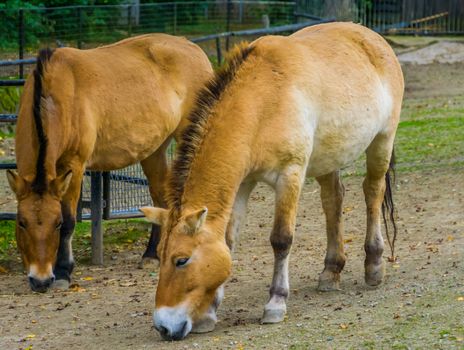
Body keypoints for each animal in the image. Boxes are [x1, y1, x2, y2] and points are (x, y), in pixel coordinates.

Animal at [5, 34, 212, 292]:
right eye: (22, 222)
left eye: (56, 223)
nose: (40, 280)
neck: (58, 95)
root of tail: (194, 48)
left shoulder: (75, 165)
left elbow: (71, 219)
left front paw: (63, 271)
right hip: (154, 151)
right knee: (160, 197)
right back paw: (152, 255)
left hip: (190, 135)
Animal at [140, 21, 402, 340]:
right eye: (160, 255)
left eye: (181, 260)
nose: (164, 326)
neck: (262, 102)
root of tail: (373, 38)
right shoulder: (242, 183)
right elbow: (228, 241)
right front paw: (210, 313)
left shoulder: (290, 174)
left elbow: (281, 239)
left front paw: (276, 303)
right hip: (328, 158)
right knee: (333, 201)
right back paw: (331, 271)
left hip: (382, 141)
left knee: (372, 192)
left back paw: (374, 267)